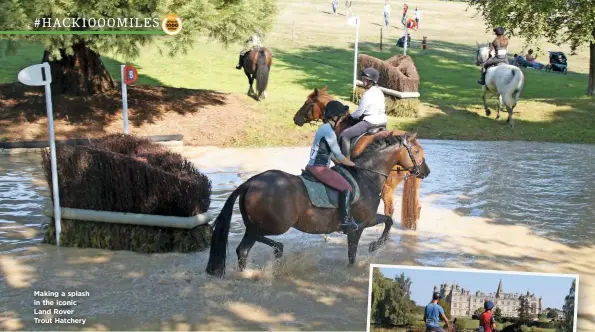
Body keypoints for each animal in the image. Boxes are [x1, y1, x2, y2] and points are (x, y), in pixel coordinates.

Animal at [205, 130, 428, 278]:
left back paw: (247, 272)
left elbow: (388, 221)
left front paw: (375, 245)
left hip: (257, 223)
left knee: (243, 249)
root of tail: (251, 182)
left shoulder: (368, 220)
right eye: (417, 151)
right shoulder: (358, 226)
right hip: (276, 224)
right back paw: (278, 250)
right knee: (257, 238)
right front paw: (373, 247)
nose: (426, 172)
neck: (367, 176)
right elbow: (354, 253)